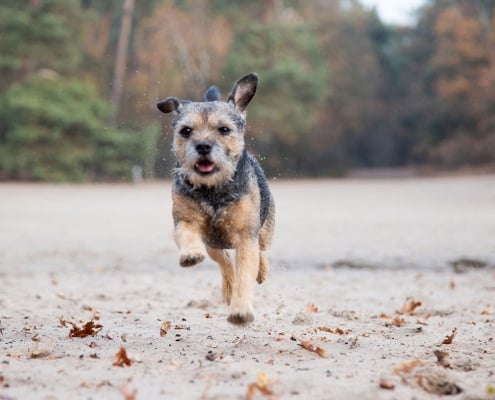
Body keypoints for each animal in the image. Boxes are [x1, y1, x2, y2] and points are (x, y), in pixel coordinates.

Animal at [158, 73, 278, 326]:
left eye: (224, 129)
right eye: (186, 130)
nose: (203, 146)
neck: (212, 190)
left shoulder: (246, 236)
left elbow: (245, 272)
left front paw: (240, 311)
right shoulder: (185, 220)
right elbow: (187, 235)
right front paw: (190, 255)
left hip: (265, 228)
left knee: (261, 250)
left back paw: (261, 272)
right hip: (213, 244)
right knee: (224, 262)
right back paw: (227, 288)